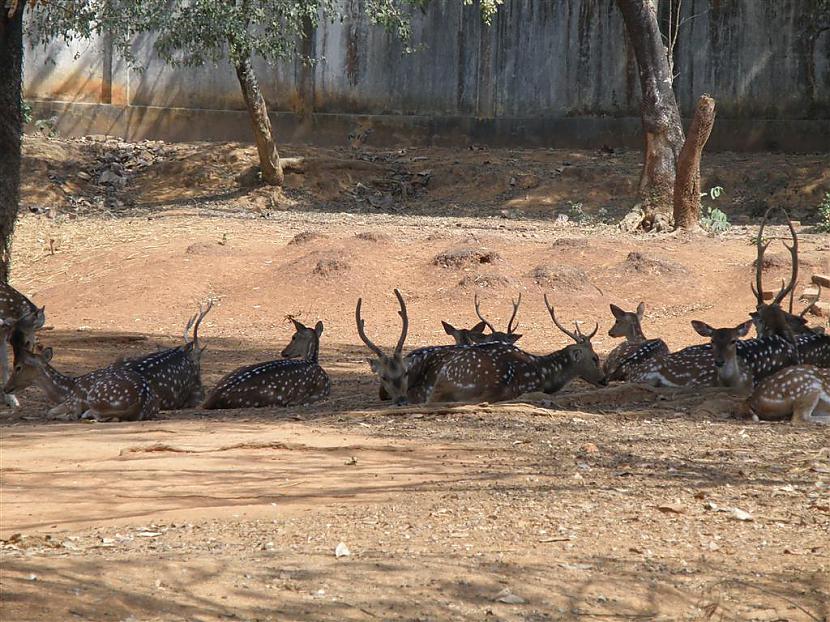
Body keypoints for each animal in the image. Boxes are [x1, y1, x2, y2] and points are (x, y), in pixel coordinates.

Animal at [3, 336, 159, 424]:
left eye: (18, 367)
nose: (5, 388)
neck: (65, 391)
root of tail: (140, 401)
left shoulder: (74, 401)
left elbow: (49, 412)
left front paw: (68, 415)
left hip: (96, 396)